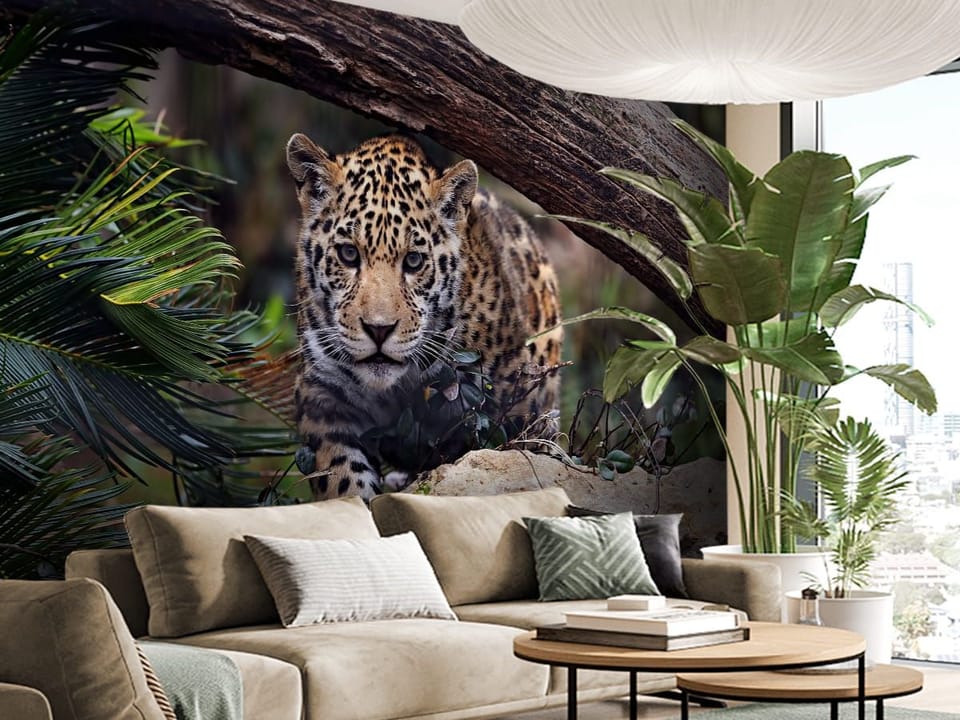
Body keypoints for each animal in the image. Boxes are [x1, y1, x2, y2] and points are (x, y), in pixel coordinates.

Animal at [286, 133, 562, 500]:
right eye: (348, 254)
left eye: (414, 261)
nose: (378, 330)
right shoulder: (322, 396)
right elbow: (342, 475)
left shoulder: (515, 405)